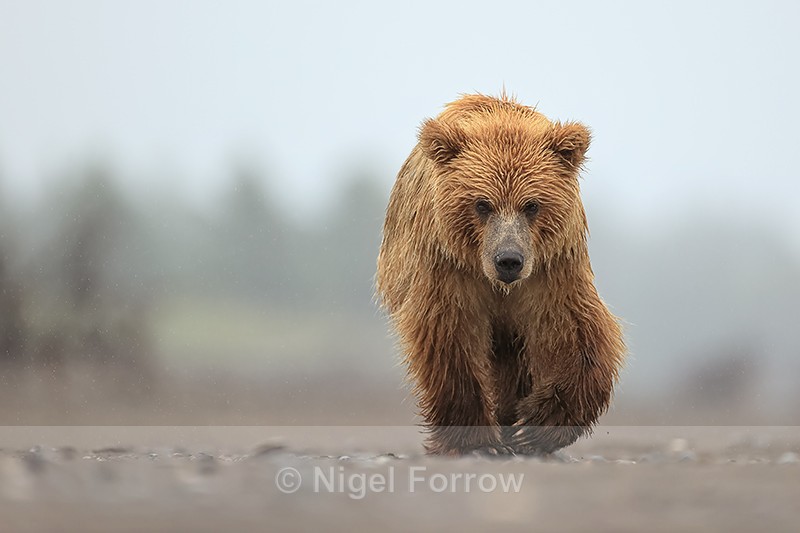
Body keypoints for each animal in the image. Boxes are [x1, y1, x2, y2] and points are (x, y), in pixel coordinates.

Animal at [376, 93, 625, 456]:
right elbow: (451, 340)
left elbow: (579, 335)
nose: (509, 260)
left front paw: (536, 426)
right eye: (482, 204)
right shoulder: (450, 271)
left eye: (532, 205)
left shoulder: (550, 272)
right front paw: (475, 440)